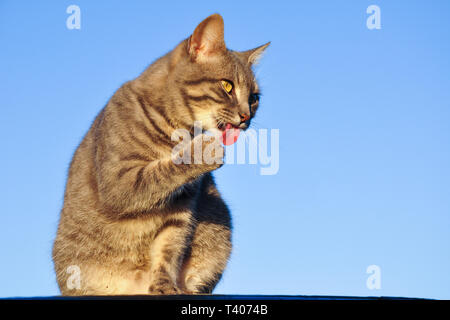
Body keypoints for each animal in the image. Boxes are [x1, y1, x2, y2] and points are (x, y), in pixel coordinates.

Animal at [52, 14, 270, 296]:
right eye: (227, 85)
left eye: (254, 98)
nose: (246, 116)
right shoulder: (118, 182)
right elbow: (157, 172)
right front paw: (202, 151)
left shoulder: (182, 207)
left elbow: (168, 251)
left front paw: (164, 285)